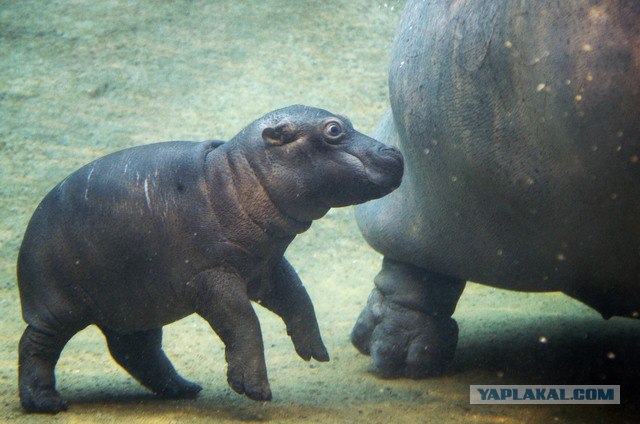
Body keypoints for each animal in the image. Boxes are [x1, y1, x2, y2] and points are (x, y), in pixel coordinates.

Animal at [18, 104, 404, 412]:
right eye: (334, 130)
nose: (396, 154)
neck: (237, 177)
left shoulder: (265, 267)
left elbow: (298, 296)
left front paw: (314, 352)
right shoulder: (211, 277)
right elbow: (244, 320)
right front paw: (255, 389)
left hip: (137, 304)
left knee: (136, 350)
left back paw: (184, 389)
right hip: (58, 307)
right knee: (35, 345)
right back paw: (46, 403)